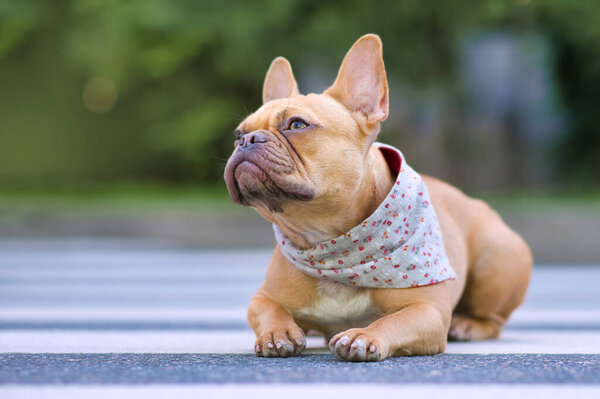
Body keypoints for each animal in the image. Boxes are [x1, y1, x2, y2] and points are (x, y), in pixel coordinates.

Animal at [223, 33, 532, 362]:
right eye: (237, 133)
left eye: (297, 124)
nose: (246, 140)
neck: (330, 242)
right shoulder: (263, 297)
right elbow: (270, 310)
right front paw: (277, 332)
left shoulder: (428, 312)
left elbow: (394, 320)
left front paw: (363, 336)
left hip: (496, 257)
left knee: (494, 319)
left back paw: (468, 325)